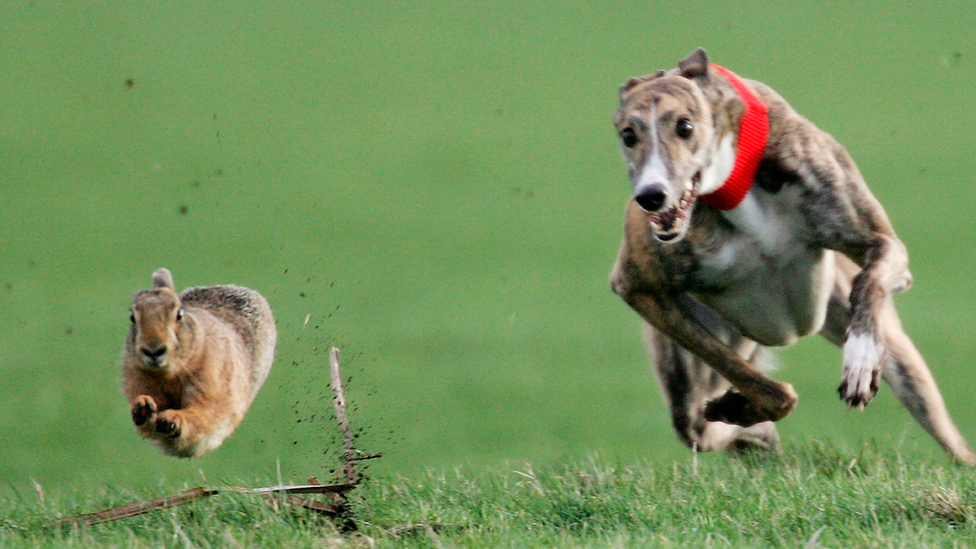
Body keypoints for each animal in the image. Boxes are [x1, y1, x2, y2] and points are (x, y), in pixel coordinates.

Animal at [608, 47, 976, 460]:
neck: (734, 184)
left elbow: (871, 280)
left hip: (894, 354)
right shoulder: (638, 284)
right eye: (628, 134)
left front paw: (860, 359)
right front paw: (743, 408)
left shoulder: (883, 245)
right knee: (699, 425)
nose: (650, 196)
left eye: (684, 126)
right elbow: (759, 384)